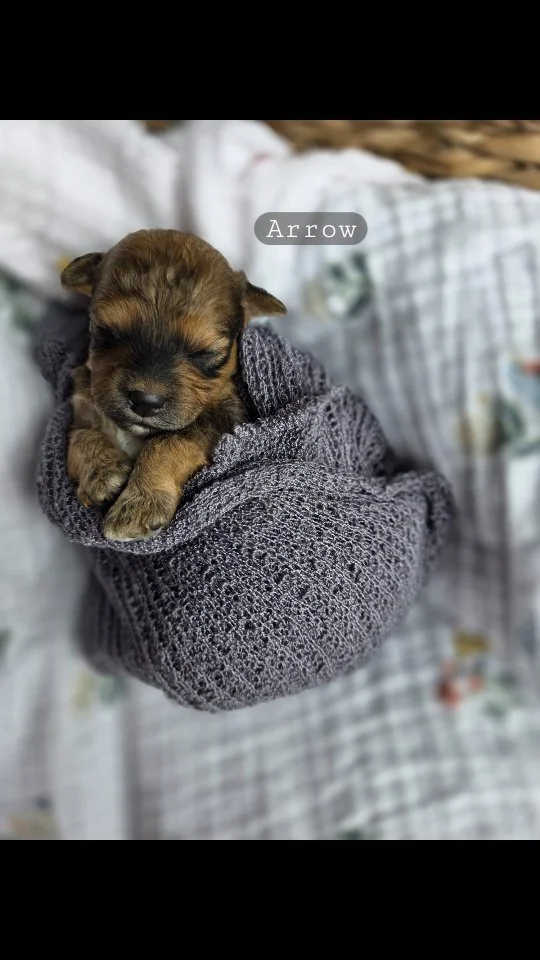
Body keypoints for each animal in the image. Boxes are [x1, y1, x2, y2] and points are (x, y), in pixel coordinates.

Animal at [61, 229, 286, 541]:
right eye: (107, 330)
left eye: (205, 352)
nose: (145, 400)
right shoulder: (83, 401)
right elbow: (82, 435)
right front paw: (102, 472)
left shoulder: (226, 419)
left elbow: (171, 441)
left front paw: (140, 504)